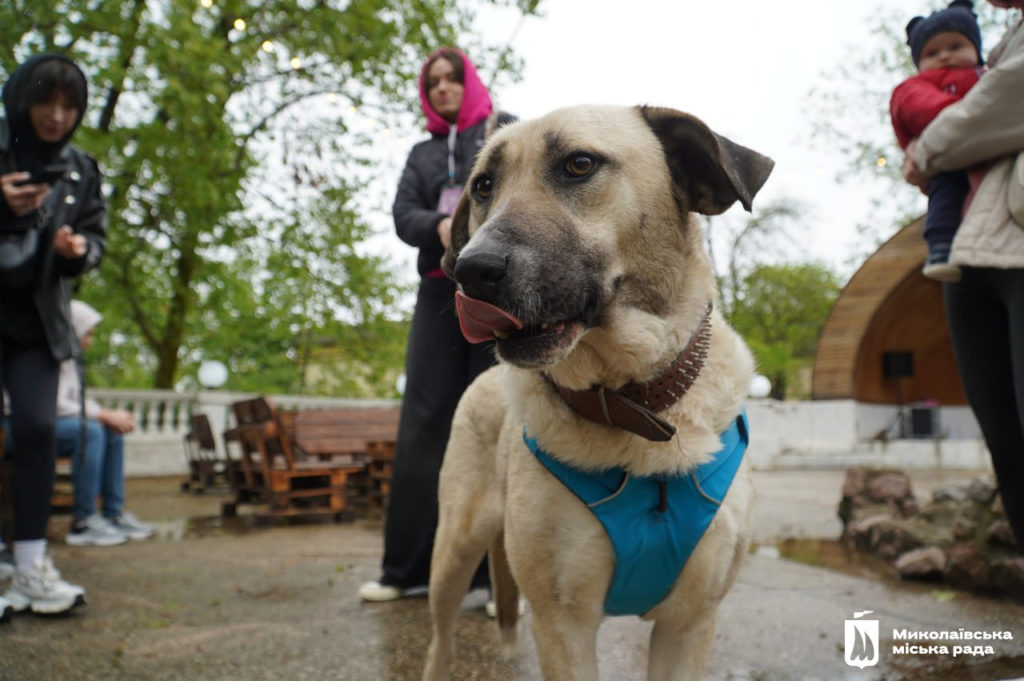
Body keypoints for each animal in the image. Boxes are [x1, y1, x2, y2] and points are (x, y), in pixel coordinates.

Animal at [421, 106, 770, 679]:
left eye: (579, 164)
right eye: (483, 185)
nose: (471, 270)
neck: (633, 403)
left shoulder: (689, 624)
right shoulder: (563, 624)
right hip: (453, 550)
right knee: (440, 641)